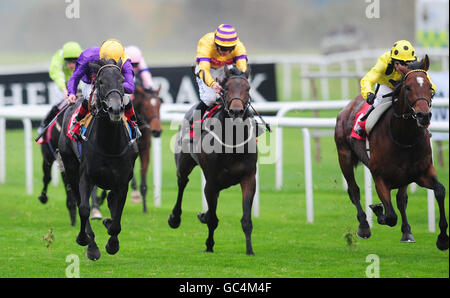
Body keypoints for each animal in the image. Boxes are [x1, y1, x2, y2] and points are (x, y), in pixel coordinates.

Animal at [59, 58, 139, 260]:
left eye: (121, 81)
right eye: (101, 82)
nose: (115, 109)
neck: (109, 145)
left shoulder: (122, 181)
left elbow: (117, 216)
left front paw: (112, 242)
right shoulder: (85, 177)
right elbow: (84, 209)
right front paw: (86, 241)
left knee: (110, 200)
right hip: (70, 167)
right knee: (79, 200)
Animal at [129, 82, 163, 213]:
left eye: (159, 104)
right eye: (146, 106)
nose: (157, 131)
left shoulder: (145, 150)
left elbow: (143, 180)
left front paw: (145, 209)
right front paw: (135, 196)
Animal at [169, 66, 260, 255]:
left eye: (248, 89)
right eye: (226, 89)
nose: (236, 111)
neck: (232, 144)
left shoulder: (249, 178)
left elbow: (246, 219)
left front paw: (249, 250)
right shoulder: (211, 182)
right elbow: (212, 218)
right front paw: (209, 245)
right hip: (184, 163)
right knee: (182, 182)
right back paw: (175, 218)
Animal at [334, 55, 446, 249]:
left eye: (430, 87)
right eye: (408, 87)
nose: (424, 116)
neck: (403, 137)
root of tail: (347, 108)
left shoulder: (422, 172)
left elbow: (439, 190)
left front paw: (442, 238)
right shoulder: (380, 177)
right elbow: (390, 216)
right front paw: (378, 209)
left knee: (401, 198)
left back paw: (407, 231)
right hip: (344, 156)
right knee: (354, 190)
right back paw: (364, 226)